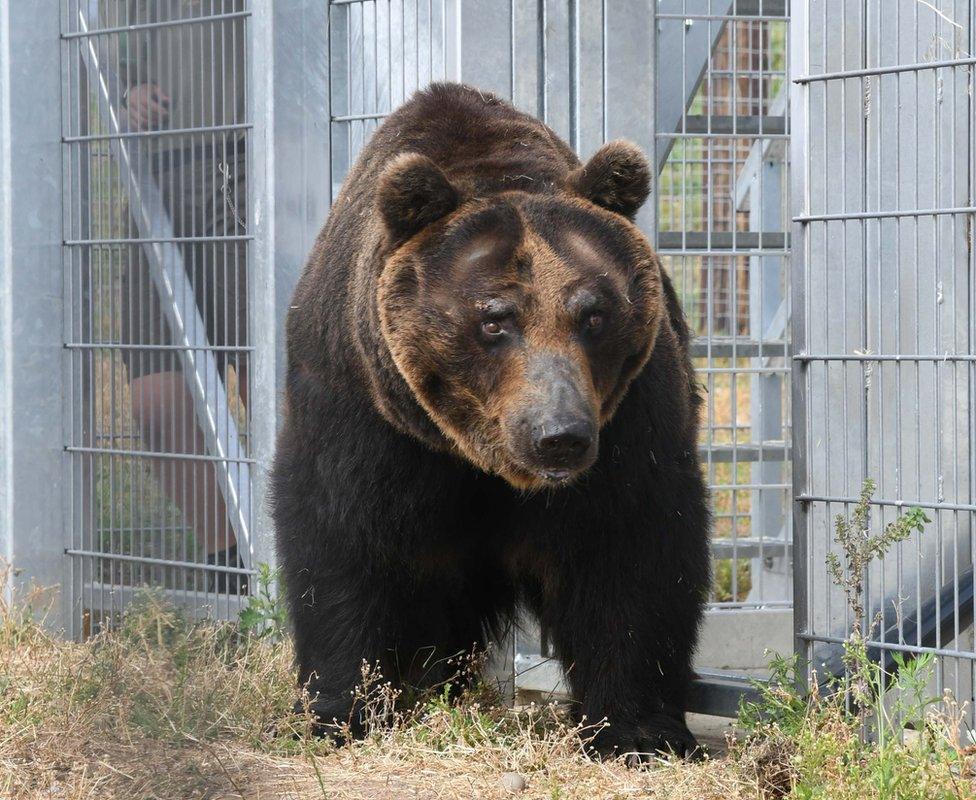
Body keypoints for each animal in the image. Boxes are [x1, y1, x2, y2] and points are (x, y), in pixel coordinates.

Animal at [270, 83, 712, 764]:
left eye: (594, 313)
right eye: (494, 318)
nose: (559, 436)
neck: (477, 457)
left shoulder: (628, 419)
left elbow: (634, 551)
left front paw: (639, 730)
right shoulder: (364, 412)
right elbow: (343, 538)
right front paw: (340, 710)